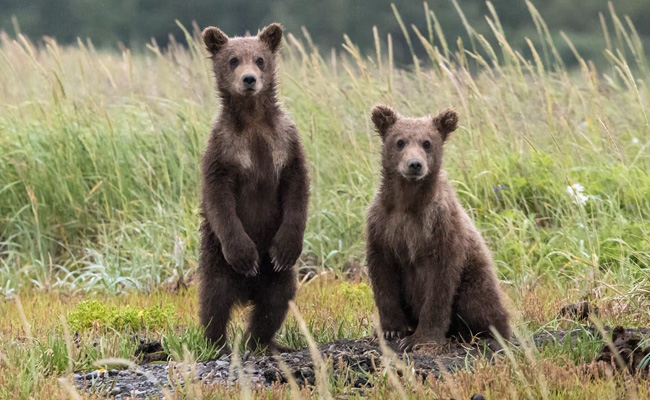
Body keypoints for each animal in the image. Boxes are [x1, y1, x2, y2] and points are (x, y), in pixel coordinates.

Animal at [198, 23, 309, 354]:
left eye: (259, 59)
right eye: (233, 59)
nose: (249, 79)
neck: (252, 120)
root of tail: (247, 291)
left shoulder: (285, 142)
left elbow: (297, 189)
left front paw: (286, 248)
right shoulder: (223, 149)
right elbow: (219, 198)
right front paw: (246, 255)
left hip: (276, 277)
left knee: (275, 302)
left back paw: (263, 342)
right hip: (216, 259)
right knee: (214, 300)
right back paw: (217, 344)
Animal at [366, 105, 511, 352]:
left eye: (427, 142)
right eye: (400, 141)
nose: (415, 164)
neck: (408, 203)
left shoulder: (440, 228)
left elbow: (439, 285)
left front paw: (420, 339)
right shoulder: (382, 226)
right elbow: (383, 276)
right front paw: (391, 330)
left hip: (475, 277)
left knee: (480, 303)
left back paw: (491, 336)